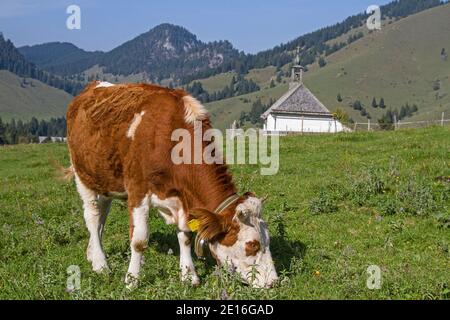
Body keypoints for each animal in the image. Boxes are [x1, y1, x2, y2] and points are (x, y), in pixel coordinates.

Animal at [65, 80, 278, 288]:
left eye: (268, 240)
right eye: (252, 245)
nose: (274, 281)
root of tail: (91, 87)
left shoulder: (182, 196)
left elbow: (185, 236)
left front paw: (189, 275)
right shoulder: (137, 190)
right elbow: (139, 240)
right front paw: (132, 280)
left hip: (105, 182)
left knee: (102, 215)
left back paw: (92, 254)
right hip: (83, 176)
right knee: (93, 217)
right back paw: (100, 264)